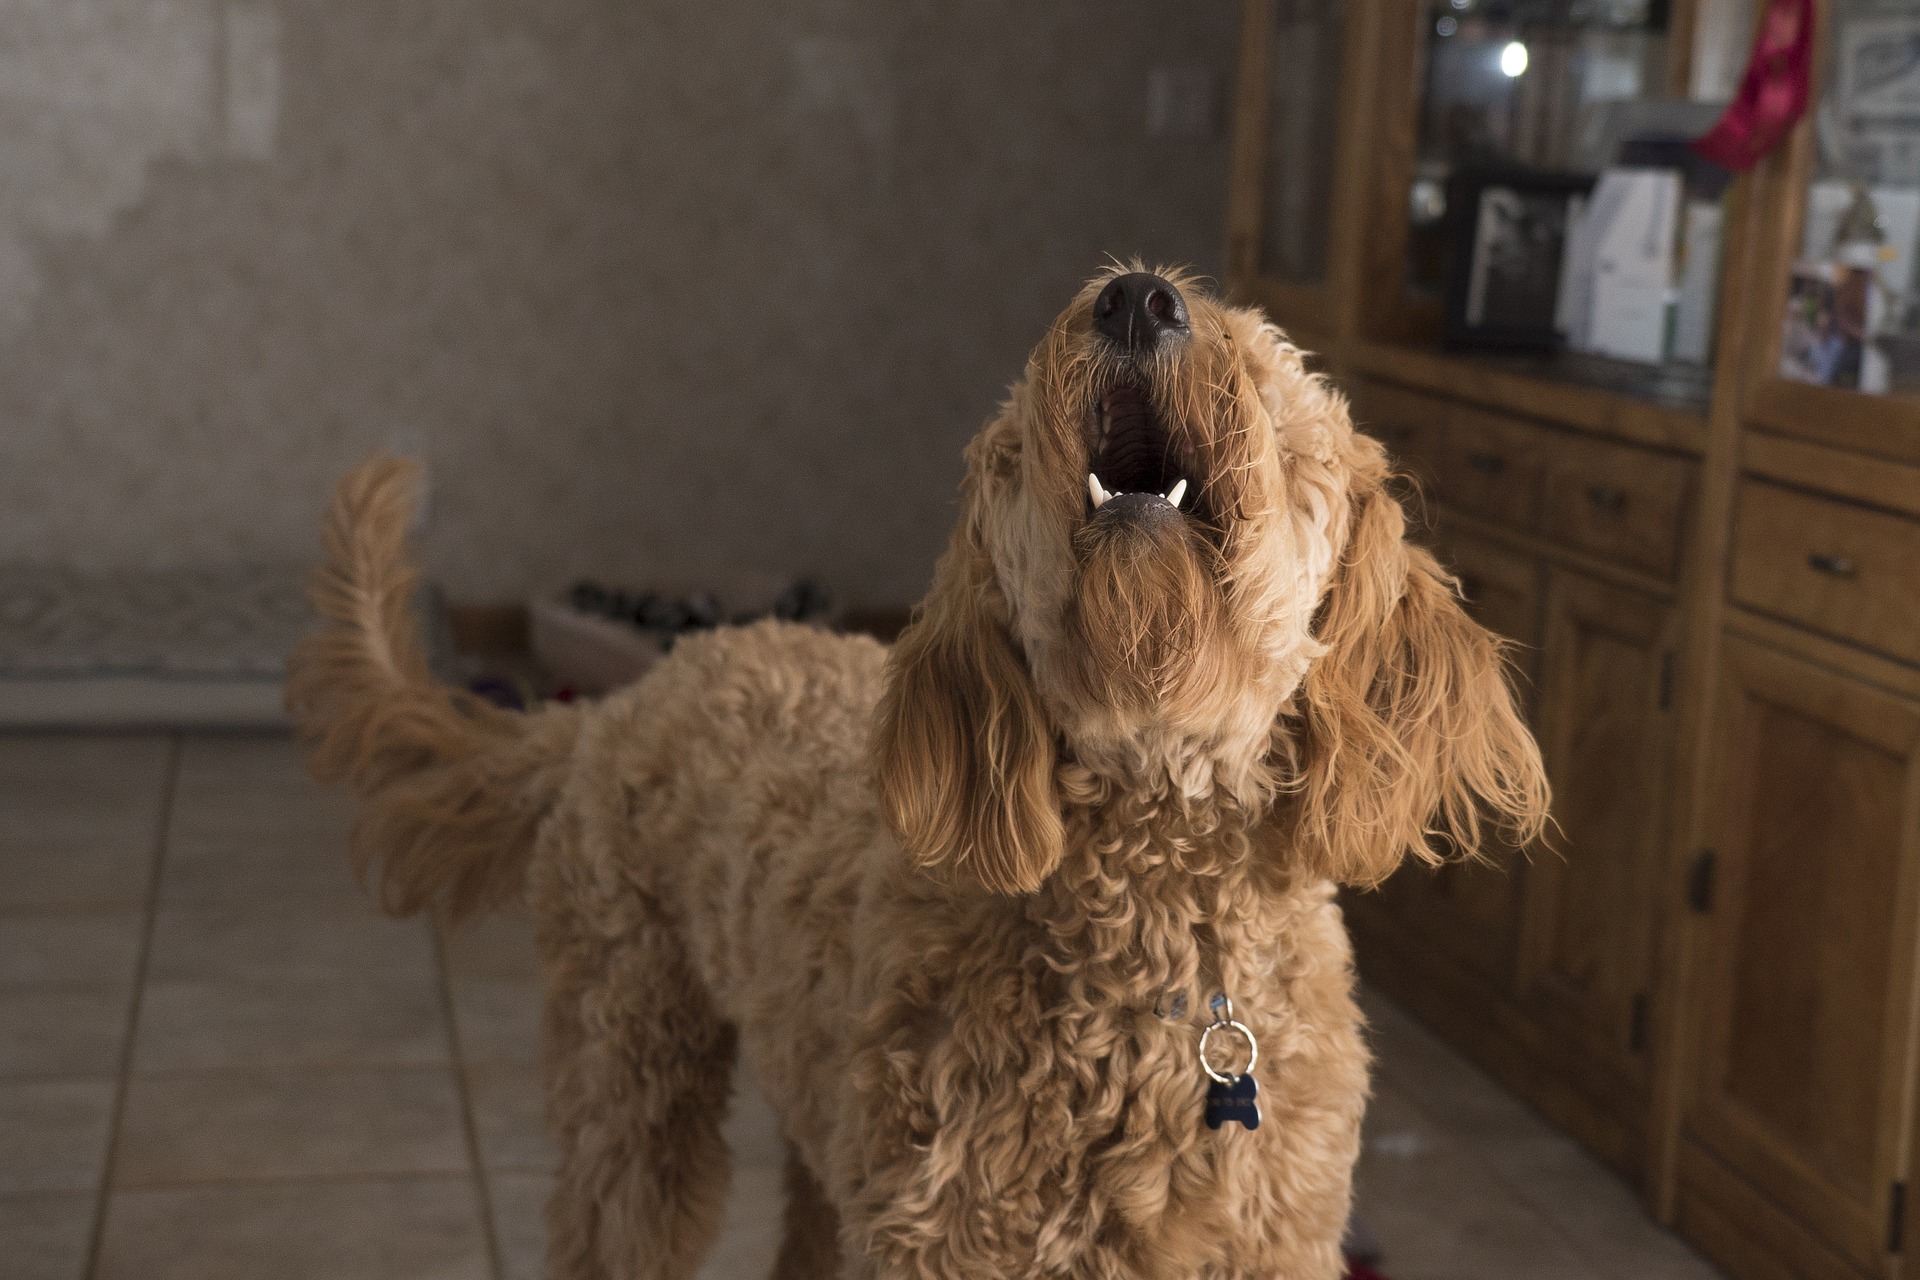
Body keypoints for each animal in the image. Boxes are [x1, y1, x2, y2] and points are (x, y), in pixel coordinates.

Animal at [284, 264, 1543, 1274]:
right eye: (1016, 440)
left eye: (1272, 378)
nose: (1138, 296)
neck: (1151, 934)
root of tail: (628, 697)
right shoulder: (947, 1234)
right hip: (633, 1069)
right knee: (616, 1216)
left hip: (820, 1119)